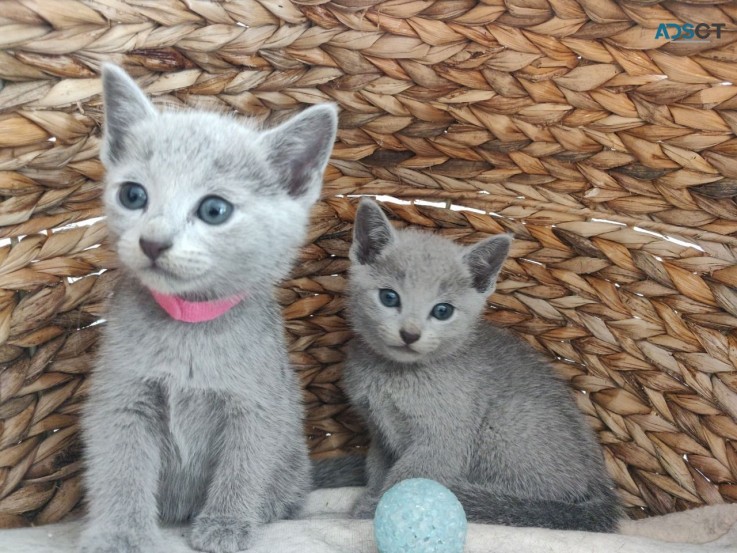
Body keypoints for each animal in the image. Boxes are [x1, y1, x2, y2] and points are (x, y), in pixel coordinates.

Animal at [77, 66, 336, 552]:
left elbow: (242, 467)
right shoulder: (122, 398)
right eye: (133, 195)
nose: (153, 241)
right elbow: (121, 467)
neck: (188, 327)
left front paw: (226, 524)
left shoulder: (256, 407)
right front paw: (120, 531)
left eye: (214, 209)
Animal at [342, 198, 620, 532]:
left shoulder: (444, 440)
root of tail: (601, 488)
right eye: (389, 297)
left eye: (443, 311)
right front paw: (371, 494)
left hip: (503, 424)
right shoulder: (379, 435)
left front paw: (372, 509)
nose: (410, 334)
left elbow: (406, 480)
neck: (394, 375)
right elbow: (377, 470)